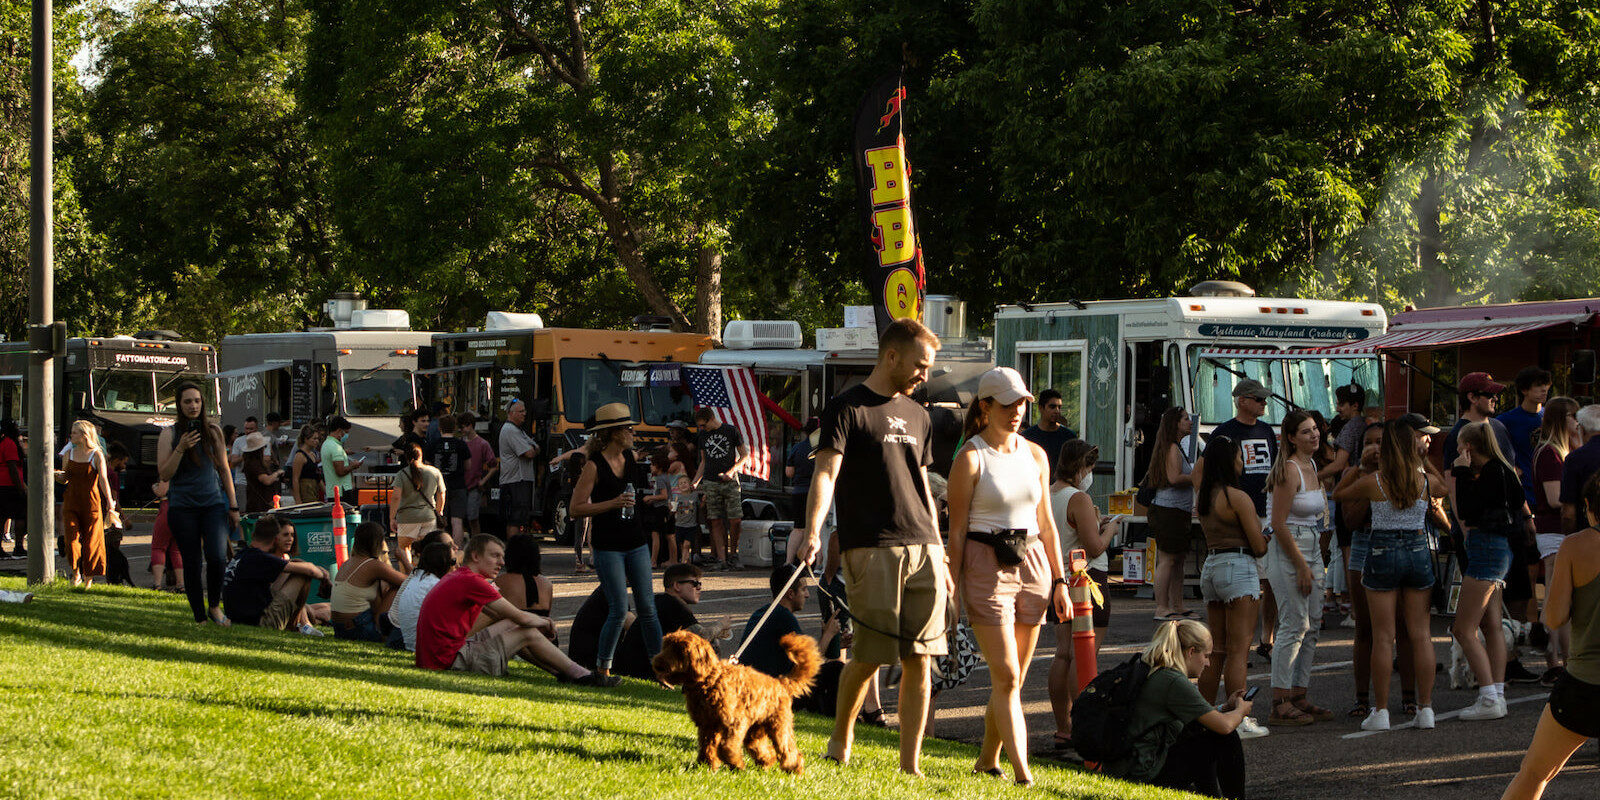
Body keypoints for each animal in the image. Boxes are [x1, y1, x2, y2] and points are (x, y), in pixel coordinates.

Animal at [652, 627, 819, 771]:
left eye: (679, 650)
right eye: (665, 646)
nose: (656, 663)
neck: (709, 680)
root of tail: (781, 683)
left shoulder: (735, 722)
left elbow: (726, 747)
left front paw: (736, 764)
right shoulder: (707, 725)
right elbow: (707, 747)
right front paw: (707, 765)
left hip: (779, 726)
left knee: (788, 750)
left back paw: (794, 768)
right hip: (755, 731)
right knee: (763, 749)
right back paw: (767, 763)